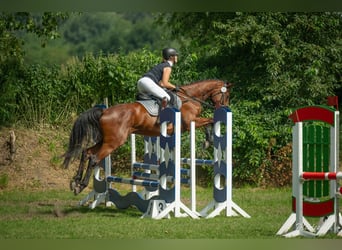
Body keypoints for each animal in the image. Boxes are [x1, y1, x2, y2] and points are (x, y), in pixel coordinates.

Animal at [62, 79, 232, 194]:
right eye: (226, 95)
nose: (224, 107)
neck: (190, 98)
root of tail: (104, 111)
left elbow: (208, 122)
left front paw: (208, 141)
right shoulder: (190, 122)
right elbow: (209, 121)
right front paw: (208, 141)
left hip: (106, 140)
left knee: (86, 152)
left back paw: (75, 182)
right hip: (114, 142)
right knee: (94, 158)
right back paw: (81, 185)